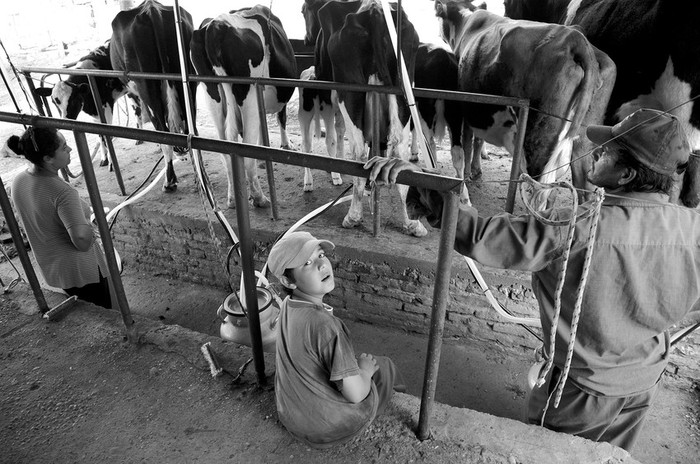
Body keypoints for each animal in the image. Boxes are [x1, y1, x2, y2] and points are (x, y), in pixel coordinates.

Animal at [109, 0, 197, 193]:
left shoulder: (133, 92)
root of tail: (152, 10)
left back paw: (169, 182)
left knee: (164, 134)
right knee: (190, 127)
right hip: (189, 83)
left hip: (147, 88)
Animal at [191, 5, 298, 208]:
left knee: (226, 152)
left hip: (211, 93)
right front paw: (286, 144)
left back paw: (233, 198)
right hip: (249, 96)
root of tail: (216, 26)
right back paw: (260, 198)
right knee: (247, 154)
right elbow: (281, 117)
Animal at [318, 0, 426, 237]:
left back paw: (353, 216)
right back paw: (409, 222)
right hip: (403, 93)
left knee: (358, 152)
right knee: (398, 150)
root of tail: (374, 9)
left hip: (349, 94)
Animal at [434, 0, 616, 192]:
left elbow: (468, 143)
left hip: (539, 139)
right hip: (585, 139)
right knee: (585, 182)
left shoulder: (467, 102)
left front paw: (468, 175)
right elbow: (478, 140)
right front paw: (476, 170)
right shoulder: (481, 110)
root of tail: (576, 38)